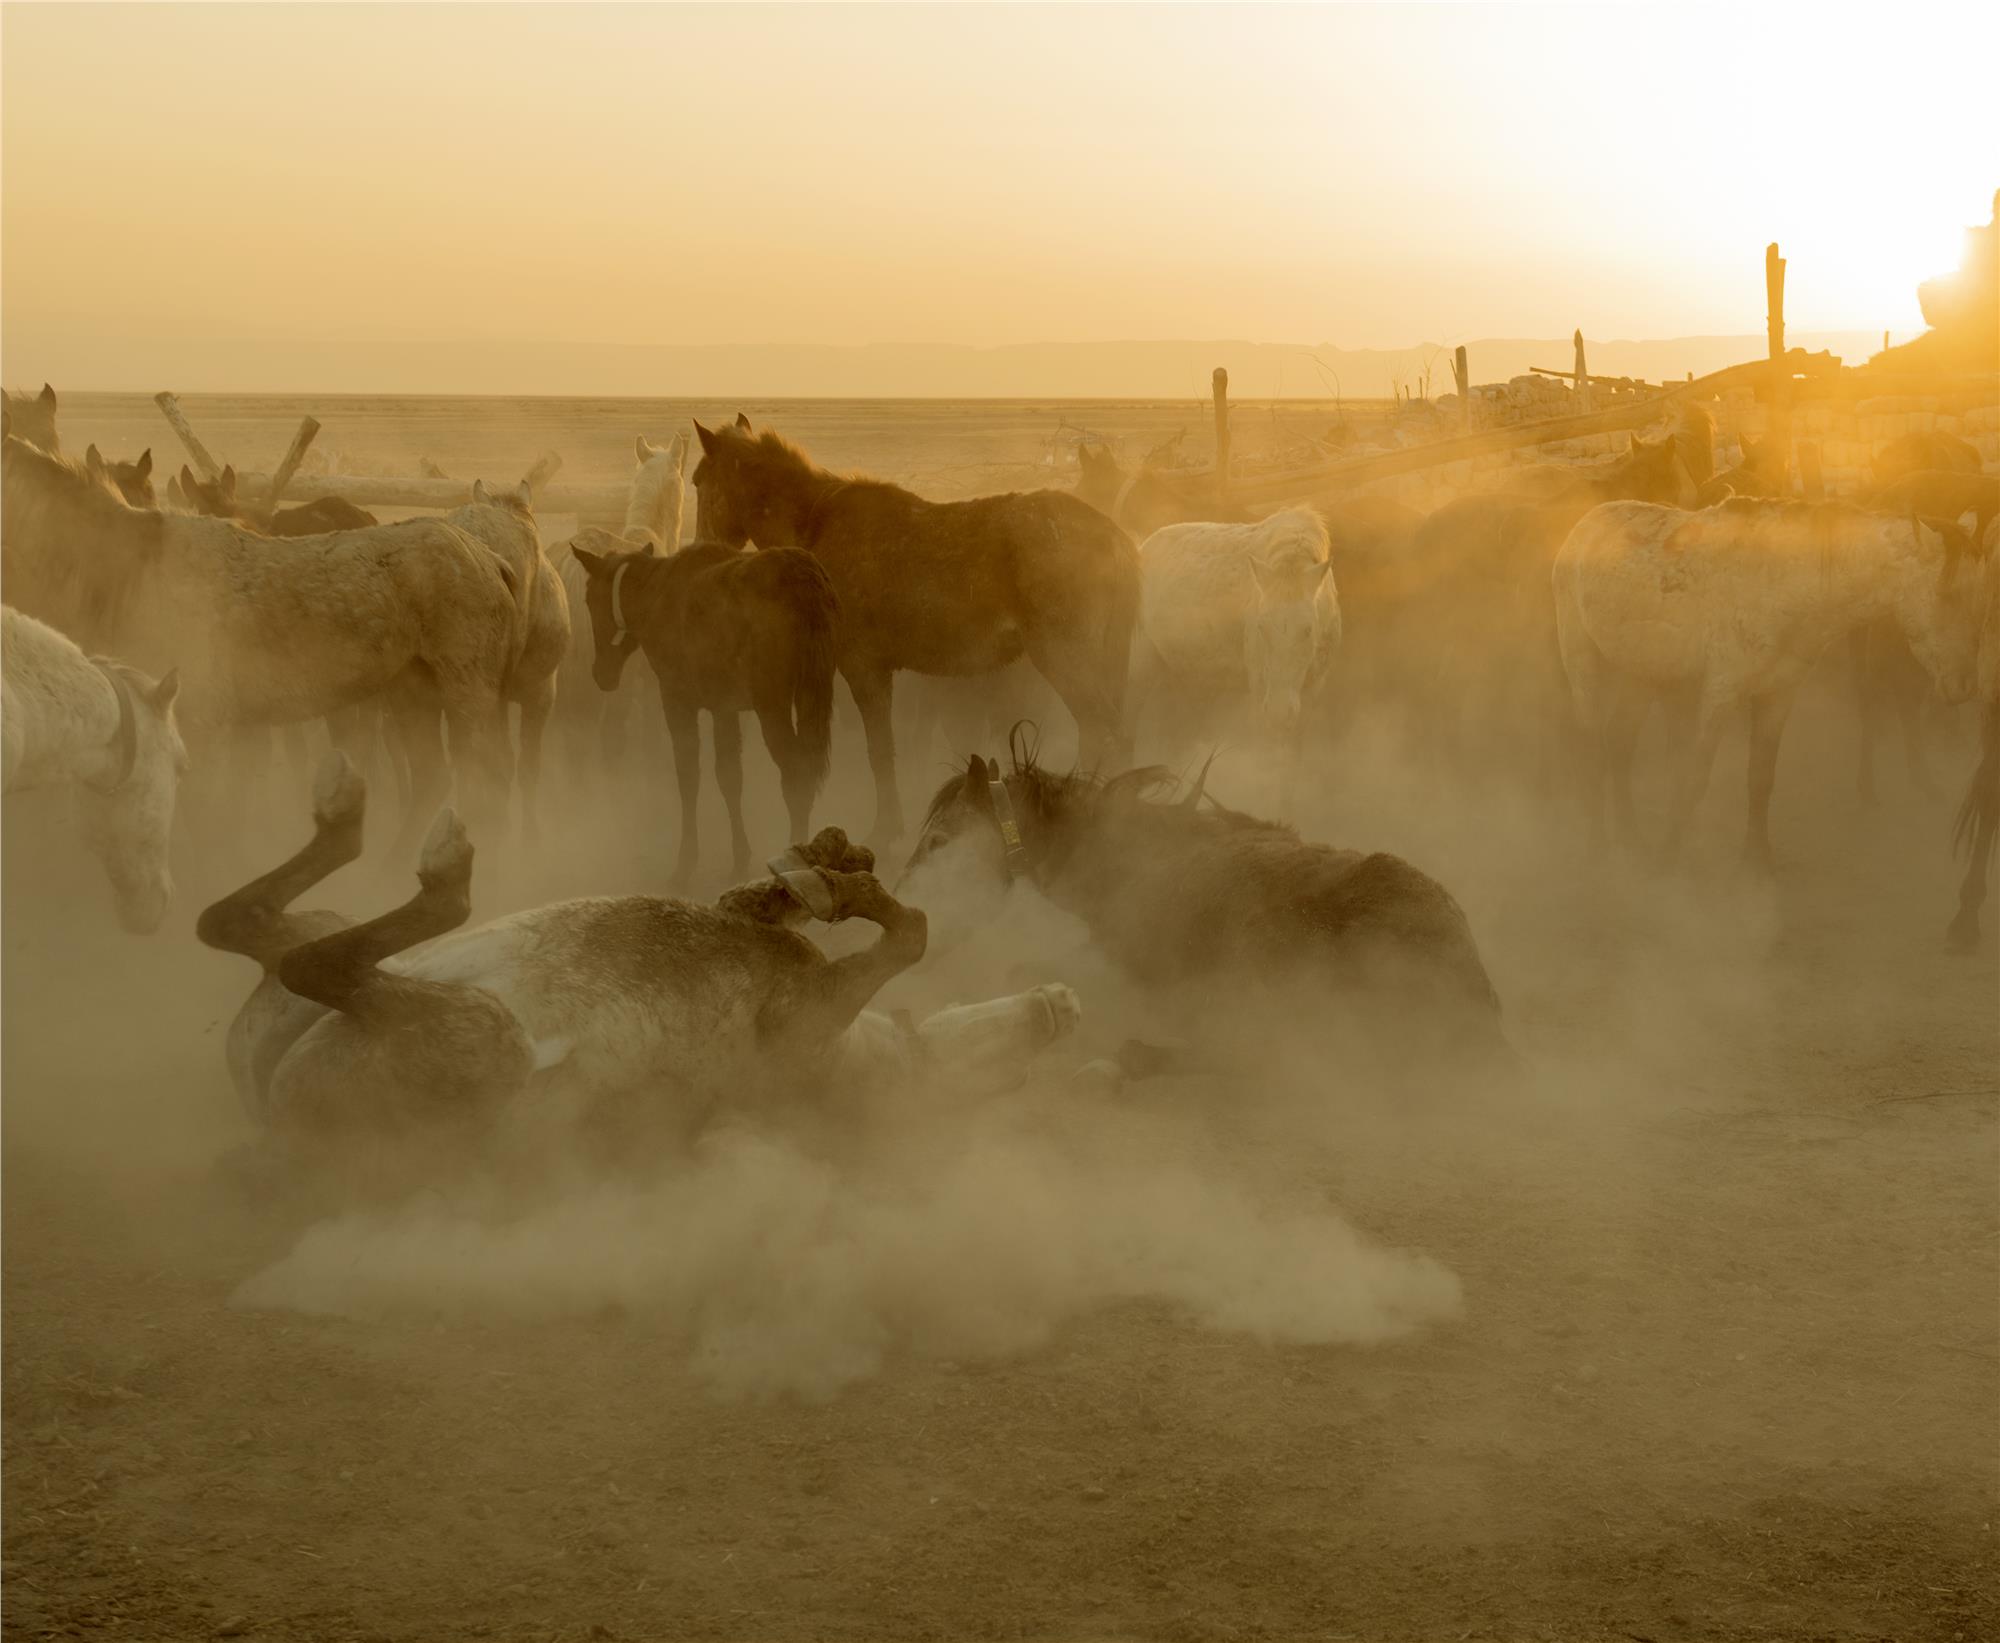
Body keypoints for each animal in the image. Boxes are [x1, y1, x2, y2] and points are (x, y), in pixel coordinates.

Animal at [196, 754, 1080, 1181]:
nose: (1063, 1003)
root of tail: (279, 1127)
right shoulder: (751, 923)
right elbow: (789, 895)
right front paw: (828, 862)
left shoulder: (809, 1012)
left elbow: (913, 934)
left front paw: (845, 882)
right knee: (243, 926)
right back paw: (347, 816)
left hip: (483, 1036)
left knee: (315, 958)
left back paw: (425, 857)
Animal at [569, 538, 837, 885]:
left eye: (589, 599)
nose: (601, 674)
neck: (652, 599)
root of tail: (805, 580)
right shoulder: (724, 707)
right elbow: (729, 777)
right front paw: (739, 858)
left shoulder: (677, 698)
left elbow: (688, 777)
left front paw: (685, 862)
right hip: (810, 694)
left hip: (772, 704)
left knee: (796, 773)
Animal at [691, 415, 1139, 843]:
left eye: (697, 481)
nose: (700, 550)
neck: (816, 521)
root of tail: (1115, 537)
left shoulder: (864, 668)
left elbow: (880, 751)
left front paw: (886, 828)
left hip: (1064, 658)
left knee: (1106, 735)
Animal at [1553, 499, 1991, 866]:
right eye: (1948, 594)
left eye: (1977, 596)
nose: (1964, 686)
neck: (1787, 582)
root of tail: (1584, 523)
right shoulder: (1721, 693)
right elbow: (1694, 779)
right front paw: (1669, 857)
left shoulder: (1778, 695)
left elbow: (1761, 779)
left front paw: (1757, 858)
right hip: (1581, 661)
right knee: (1592, 751)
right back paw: (1598, 847)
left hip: (1641, 675)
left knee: (1620, 745)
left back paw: (1630, 838)